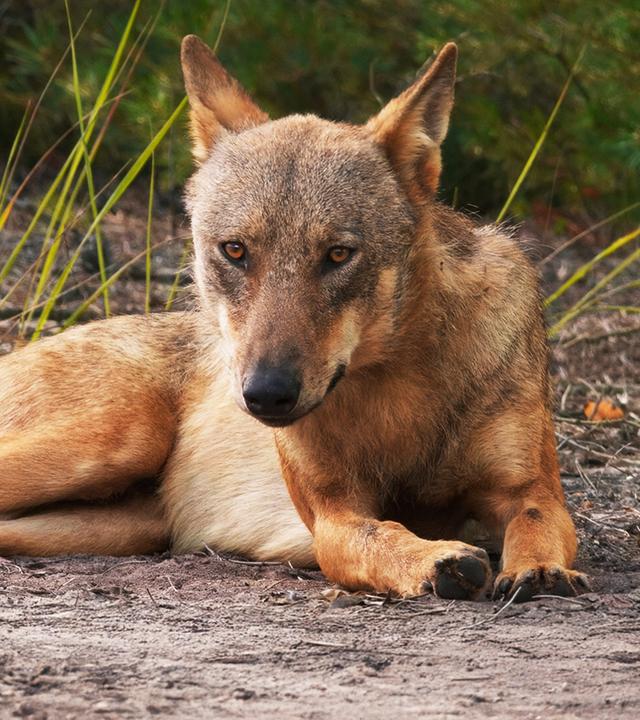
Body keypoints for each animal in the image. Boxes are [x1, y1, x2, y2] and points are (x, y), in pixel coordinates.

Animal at [0, 35, 587, 602]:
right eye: (235, 251)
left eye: (337, 254)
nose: (265, 395)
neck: (399, 392)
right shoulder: (333, 515)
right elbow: (380, 535)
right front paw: (436, 561)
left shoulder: (529, 490)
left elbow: (537, 521)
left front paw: (539, 570)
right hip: (118, 439)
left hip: (124, 521)